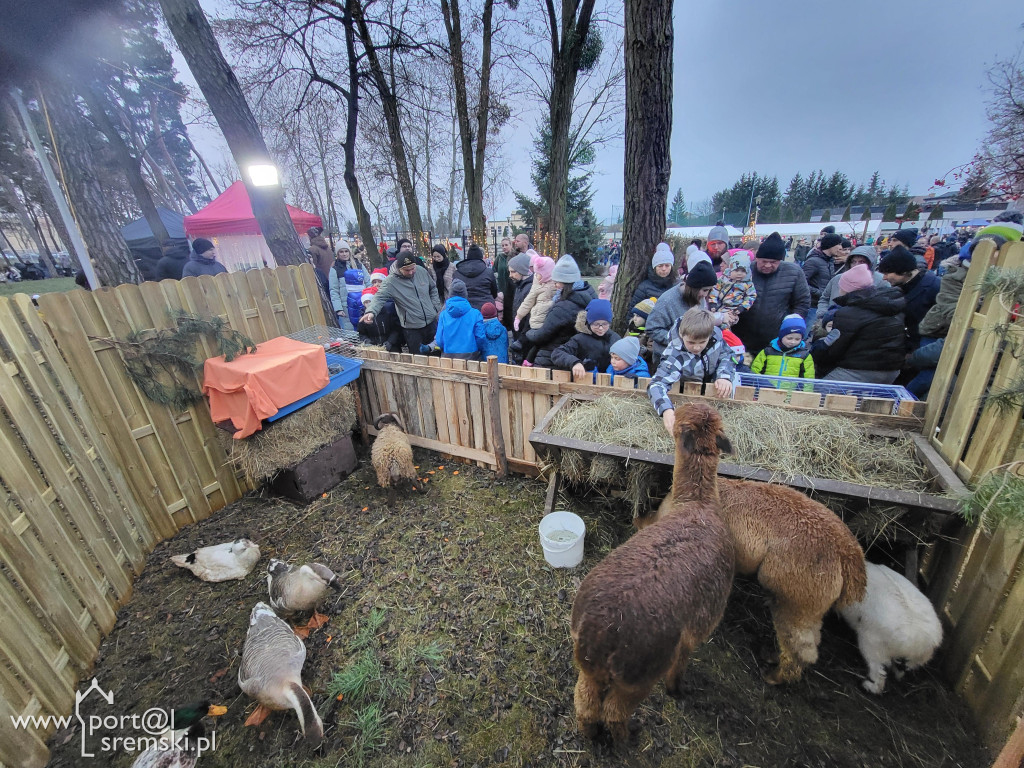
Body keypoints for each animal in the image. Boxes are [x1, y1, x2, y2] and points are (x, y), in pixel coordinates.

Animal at [573, 405, 733, 749]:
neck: (697, 504)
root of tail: (601, 633)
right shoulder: (697, 627)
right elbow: (682, 663)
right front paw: (677, 691)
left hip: (589, 665)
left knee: (585, 702)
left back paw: (591, 735)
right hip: (640, 673)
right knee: (614, 712)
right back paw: (629, 737)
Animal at [643, 475, 868, 684]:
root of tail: (848, 554)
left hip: (794, 598)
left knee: (801, 648)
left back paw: (774, 676)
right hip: (812, 604)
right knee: (810, 639)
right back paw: (772, 656)